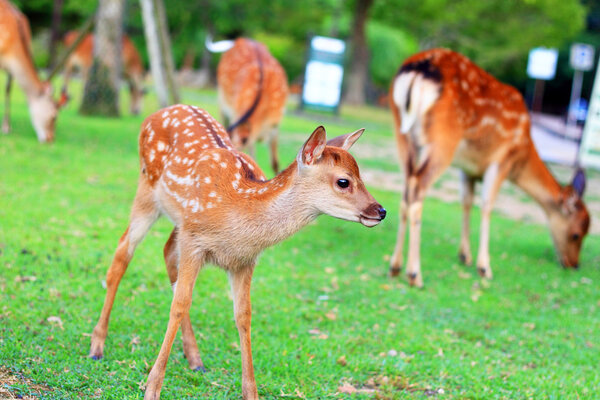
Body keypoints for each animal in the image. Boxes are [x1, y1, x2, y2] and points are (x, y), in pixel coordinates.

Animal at [89, 104, 386, 400]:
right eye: (343, 181)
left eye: (361, 176)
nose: (380, 211)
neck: (239, 213)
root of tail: (156, 114)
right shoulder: (194, 240)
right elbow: (180, 303)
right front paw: (152, 389)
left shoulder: (243, 260)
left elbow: (243, 315)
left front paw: (250, 392)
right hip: (148, 190)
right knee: (122, 252)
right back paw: (97, 346)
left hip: (179, 220)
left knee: (166, 252)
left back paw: (195, 359)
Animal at [390, 49, 592, 288]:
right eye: (576, 234)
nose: (574, 264)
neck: (523, 153)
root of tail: (416, 72)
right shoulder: (502, 160)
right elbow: (487, 206)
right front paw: (484, 267)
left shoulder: (467, 167)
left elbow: (466, 201)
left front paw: (464, 256)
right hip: (443, 139)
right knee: (418, 188)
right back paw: (414, 274)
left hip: (402, 134)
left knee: (406, 189)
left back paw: (395, 266)